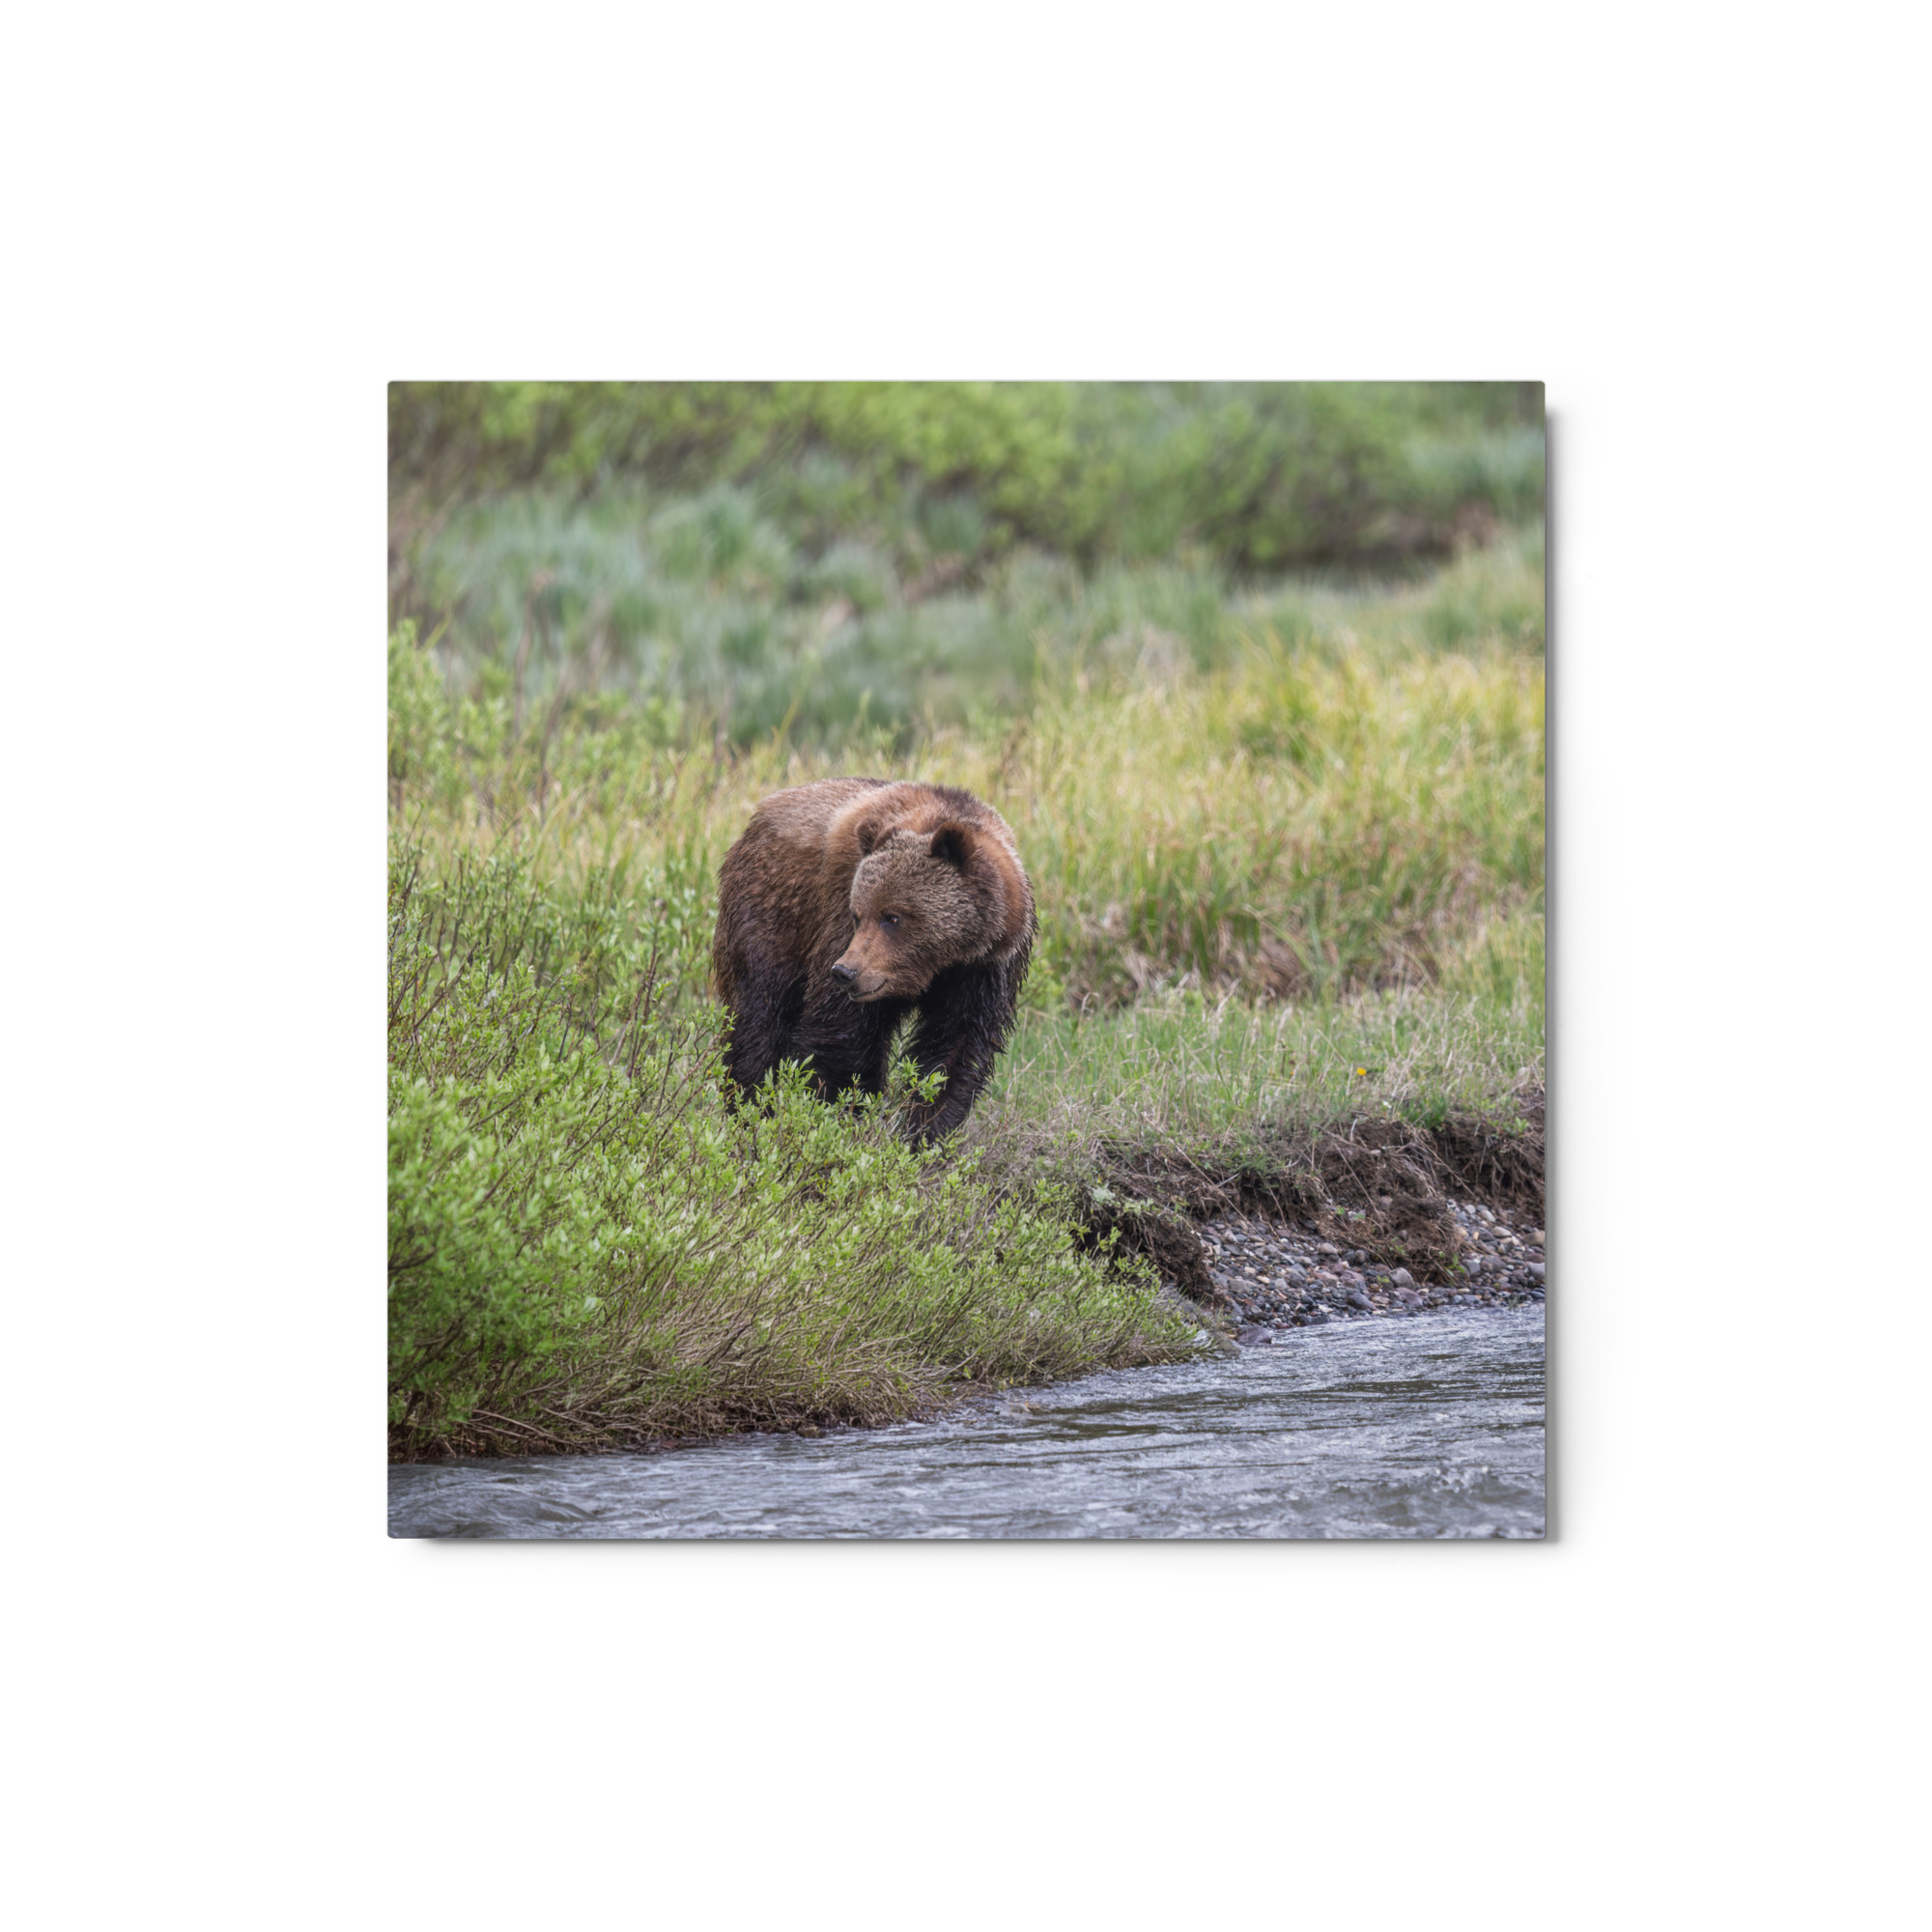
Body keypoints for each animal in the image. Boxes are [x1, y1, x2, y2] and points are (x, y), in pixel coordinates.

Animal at [711, 778, 1035, 1139]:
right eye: (858, 915)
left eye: (892, 917)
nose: (845, 972)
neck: (940, 963)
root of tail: (758, 816)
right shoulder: (838, 920)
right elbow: (842, 1035)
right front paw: (838, 1114)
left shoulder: (984, 971)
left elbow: (955, 1049)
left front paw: (924, 1129)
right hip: (773, 914)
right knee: (760, 1016)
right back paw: (751, 1110)